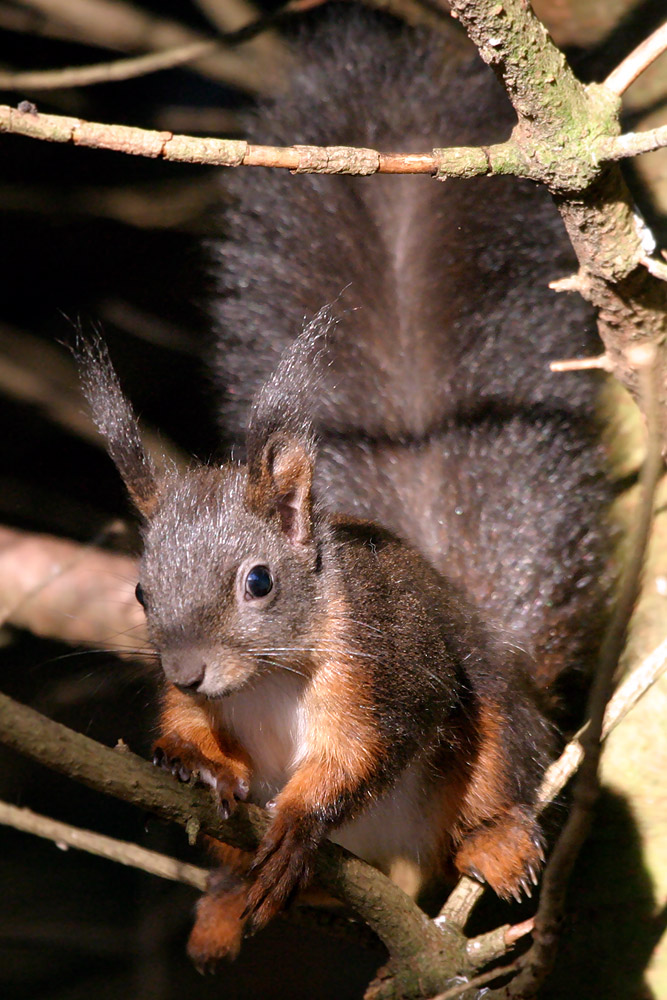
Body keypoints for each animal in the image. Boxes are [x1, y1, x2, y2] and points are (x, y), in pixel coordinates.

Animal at [77, 5, 612, 976]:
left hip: (494, 724)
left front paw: (296, 817)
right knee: (241, 869)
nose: (189, 668)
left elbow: (364, 752)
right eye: (138, 590)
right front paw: (194, 761)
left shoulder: (384, 664)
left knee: (488, 784)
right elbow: (185, 728)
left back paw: (493, 842)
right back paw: (225, 907)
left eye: (258, 582)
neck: (266, 677)